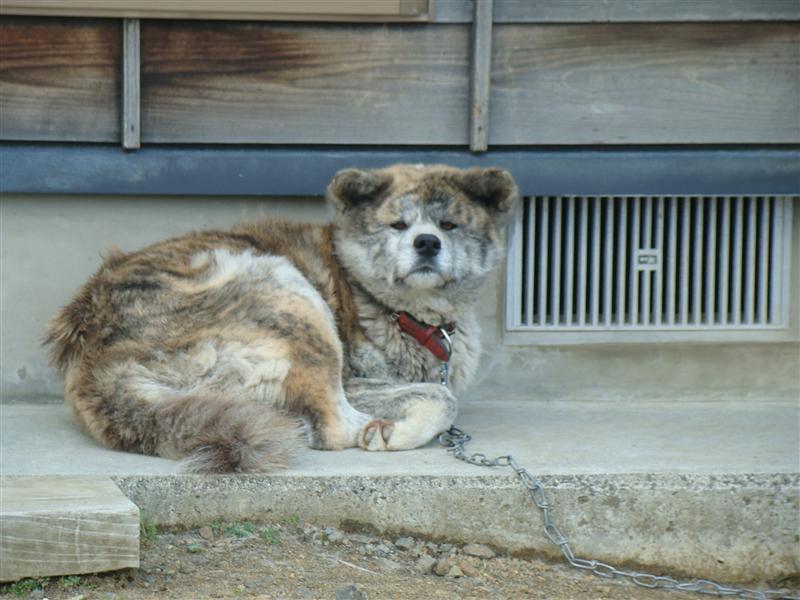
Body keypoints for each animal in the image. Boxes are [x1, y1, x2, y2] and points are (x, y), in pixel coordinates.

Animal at [45, 165, 520, 474]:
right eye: (398, 225)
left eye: (449, 225)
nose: (427, 243)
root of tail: (98, 365)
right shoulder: (357, 379)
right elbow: (444, 397)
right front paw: (399, 428)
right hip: (290, 295)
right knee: (331, 426)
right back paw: (376, 429)